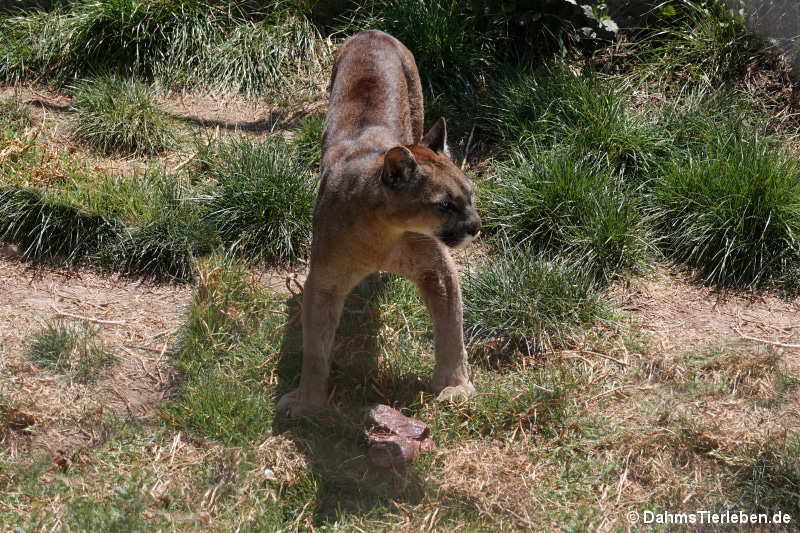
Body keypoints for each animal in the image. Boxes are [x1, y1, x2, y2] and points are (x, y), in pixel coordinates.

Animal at [277, 30, 481, 417]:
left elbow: (451, 328)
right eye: (445, 205)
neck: (382, 233)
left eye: (470, 194)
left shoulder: (437, 269)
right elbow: (316, 348)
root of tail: (371, 32)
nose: (475, 225)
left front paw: (454, 385)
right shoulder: (324, 280)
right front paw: (308, 400)